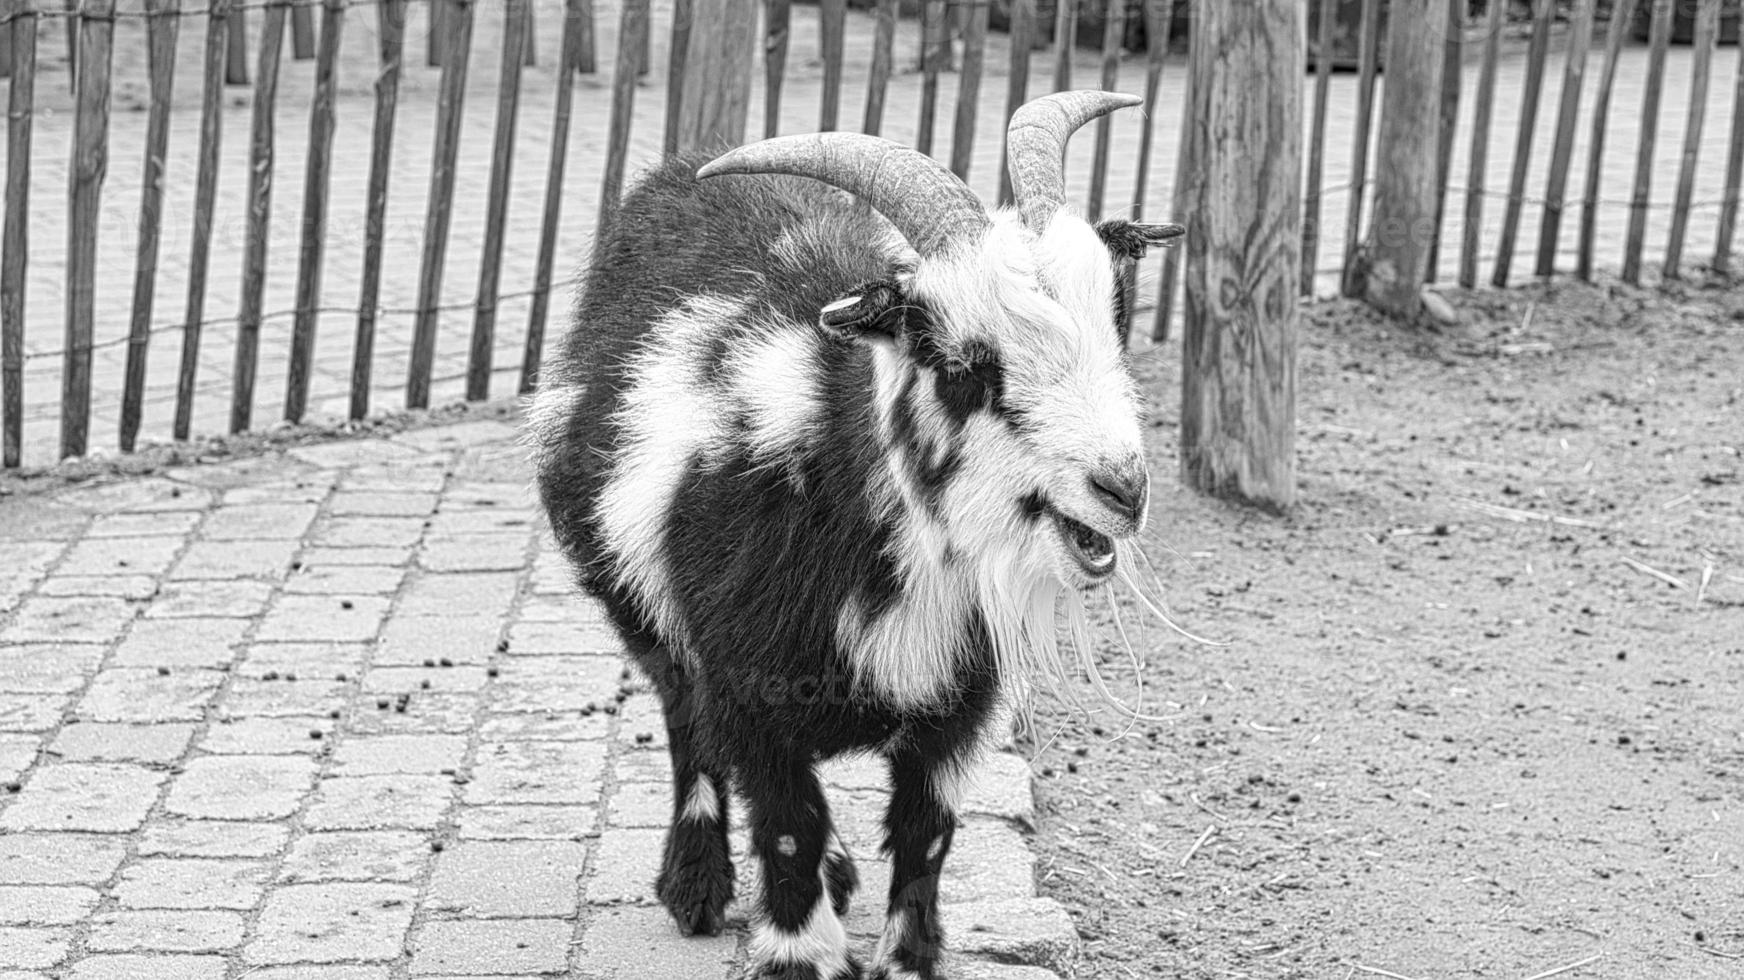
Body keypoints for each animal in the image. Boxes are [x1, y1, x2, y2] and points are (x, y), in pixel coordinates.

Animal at [530, 91, 1185, 976]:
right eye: (962, 364)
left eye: (1118, 320)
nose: (1122, 488)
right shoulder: (749, 689)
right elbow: (786, 825)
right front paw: (797, 952)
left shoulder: (958, 703)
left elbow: (925, 835)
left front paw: (907, 958)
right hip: (642, 604)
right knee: (684, 723)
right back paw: (696, 883)